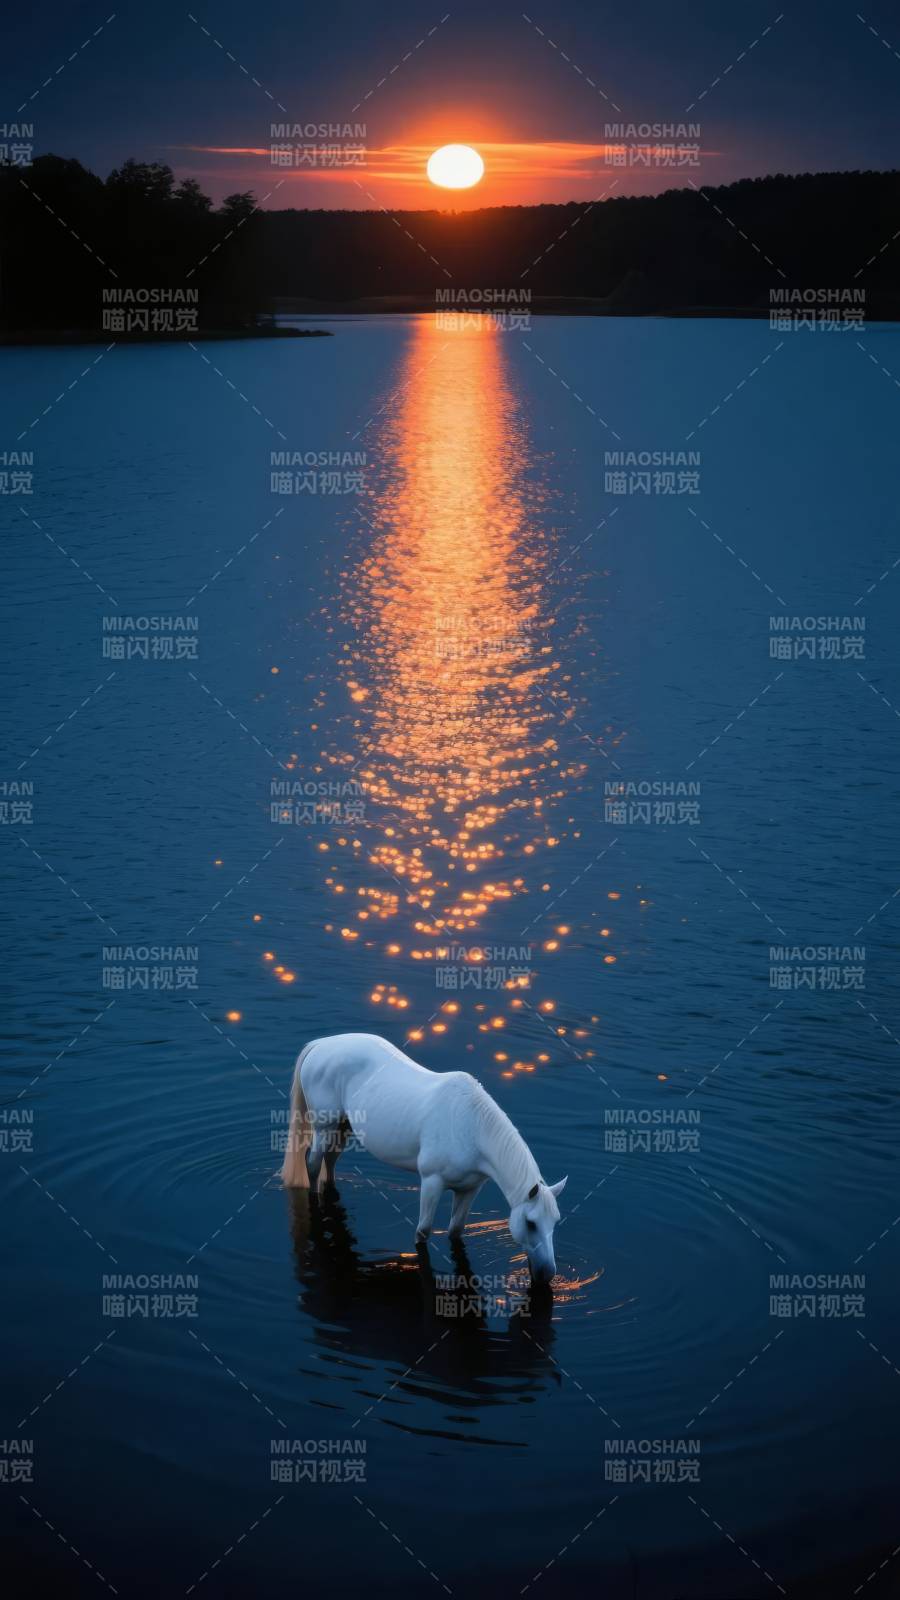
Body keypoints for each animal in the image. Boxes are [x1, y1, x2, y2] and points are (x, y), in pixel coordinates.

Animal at [280, 1032, 567, 1284]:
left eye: (554, 1222)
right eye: (530, 1223)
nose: (547, 1274)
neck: (471, 1128)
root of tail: (321, 1044)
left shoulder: (469, 1189)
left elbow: (455, 1231)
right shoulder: (431, 1181)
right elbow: (423, 1232)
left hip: (343, 1125)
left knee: (330, 1162)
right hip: (324, 1127)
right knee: (313, 1164)